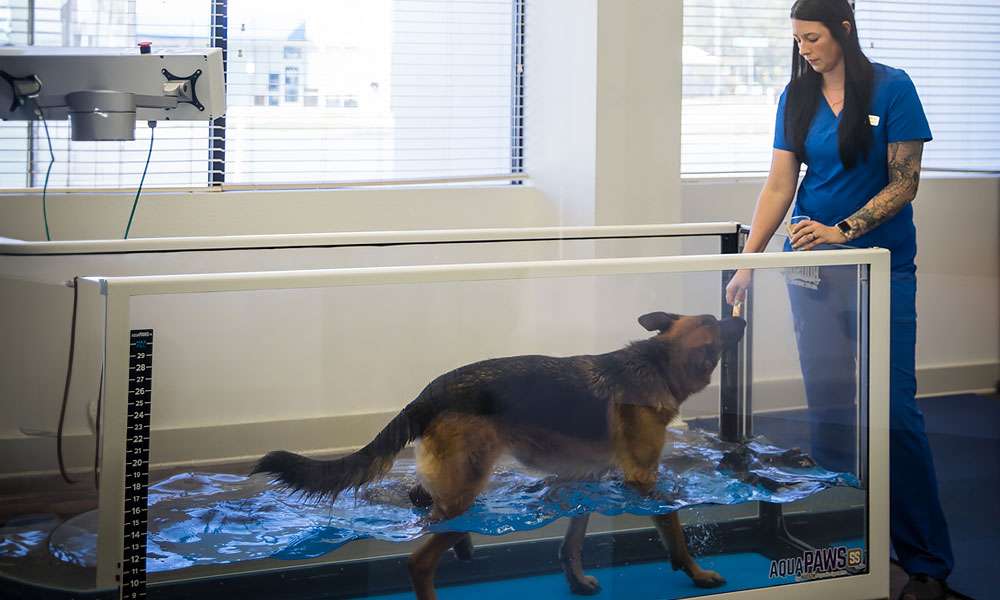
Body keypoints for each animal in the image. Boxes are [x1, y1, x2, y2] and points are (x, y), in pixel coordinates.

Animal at [254, 312, 748, 596]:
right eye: (719, 324)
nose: (742, 318)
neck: (656, 361)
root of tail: (428, 394)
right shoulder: (643, 479)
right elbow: (675, 528)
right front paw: (697, 574)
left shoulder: (582, 481)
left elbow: (572, 542)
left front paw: (576, 580)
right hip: (466, 489)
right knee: (419, 560)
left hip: (451, 483)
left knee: (422, 502)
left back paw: (464, 546)